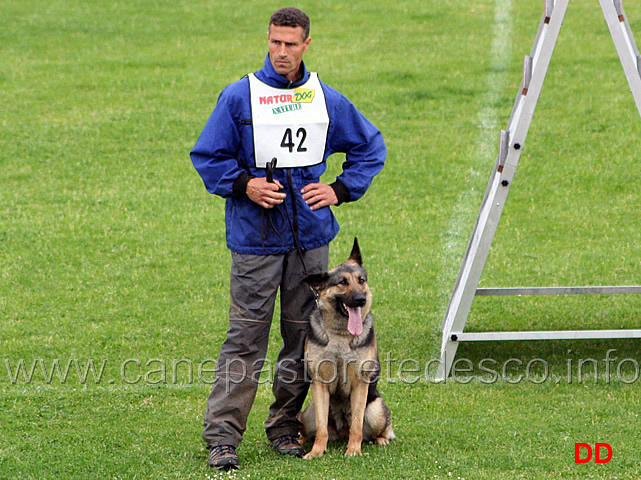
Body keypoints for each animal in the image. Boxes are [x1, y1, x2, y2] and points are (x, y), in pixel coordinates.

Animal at [298, 239, 392, 458]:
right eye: (342, 282)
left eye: (361, 280)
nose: (360, 300)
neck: (340, 334)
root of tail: (340, 432)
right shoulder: (319, 383)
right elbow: (321, 428)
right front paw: (316, 452)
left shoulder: (360, 384)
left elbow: (356, 426)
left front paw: (354, 451)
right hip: (309, 413)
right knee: (307, 427)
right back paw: (299, 441)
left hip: (375, 409)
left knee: (379, 430)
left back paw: (381, 439)